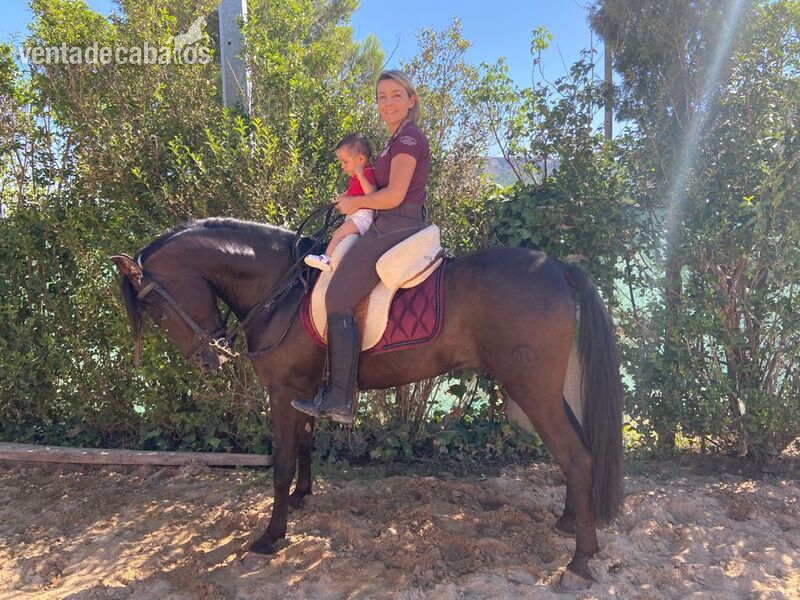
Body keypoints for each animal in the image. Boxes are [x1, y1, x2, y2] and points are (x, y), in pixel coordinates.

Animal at [111, 216, 623, 589]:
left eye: (154, 306)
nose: (210, 358)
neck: (282, 289)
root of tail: (555, 265)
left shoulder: (283, 391)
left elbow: (280, 462)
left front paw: (272, 536)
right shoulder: (305, 391)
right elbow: (304, 447)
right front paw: (301, 498)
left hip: (531, 388)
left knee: (576, 456)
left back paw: (579, 563)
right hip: (545, 389)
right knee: (578, 450)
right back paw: (570, 524)